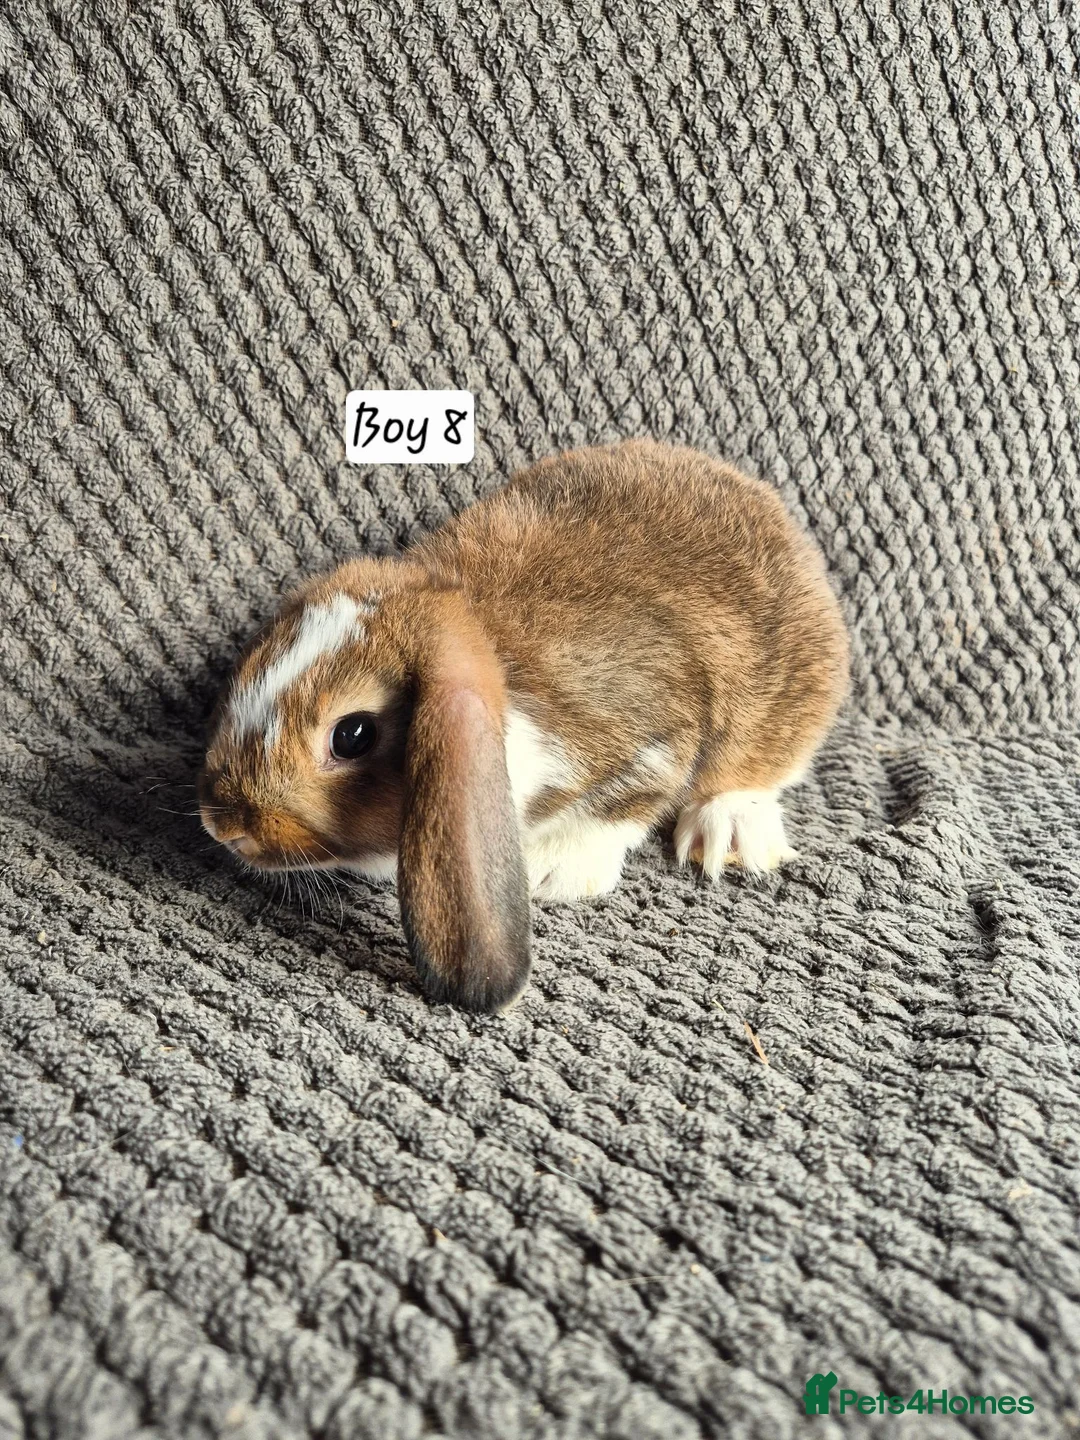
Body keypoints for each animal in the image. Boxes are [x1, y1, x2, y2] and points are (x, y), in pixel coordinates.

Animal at [199, 439, 849, 1014]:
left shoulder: (652, 741)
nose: (224, 826)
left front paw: (549, 872)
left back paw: (731, 835)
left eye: (352, 734)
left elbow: (621, 806)